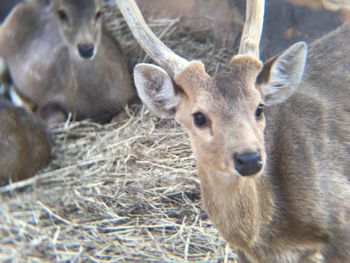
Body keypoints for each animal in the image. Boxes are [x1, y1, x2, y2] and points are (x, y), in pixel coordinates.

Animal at [0, 0, 133, 125]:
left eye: (98, 12)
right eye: (62, 14)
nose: (86, 48)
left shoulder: (128, 95)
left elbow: (122, 117)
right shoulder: (48, 97)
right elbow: (57, 116)